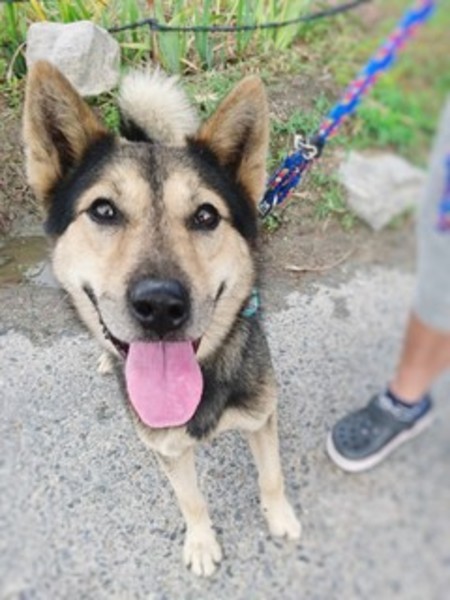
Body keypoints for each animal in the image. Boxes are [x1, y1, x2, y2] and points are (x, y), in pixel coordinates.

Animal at [23, 61, 301, 577]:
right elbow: (190, 500)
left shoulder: (260, 415)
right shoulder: (167, 448)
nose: (160, 306)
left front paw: (280, 518)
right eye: (103, 210)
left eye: (206, 216)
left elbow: (271, 475)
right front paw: (202, 543)